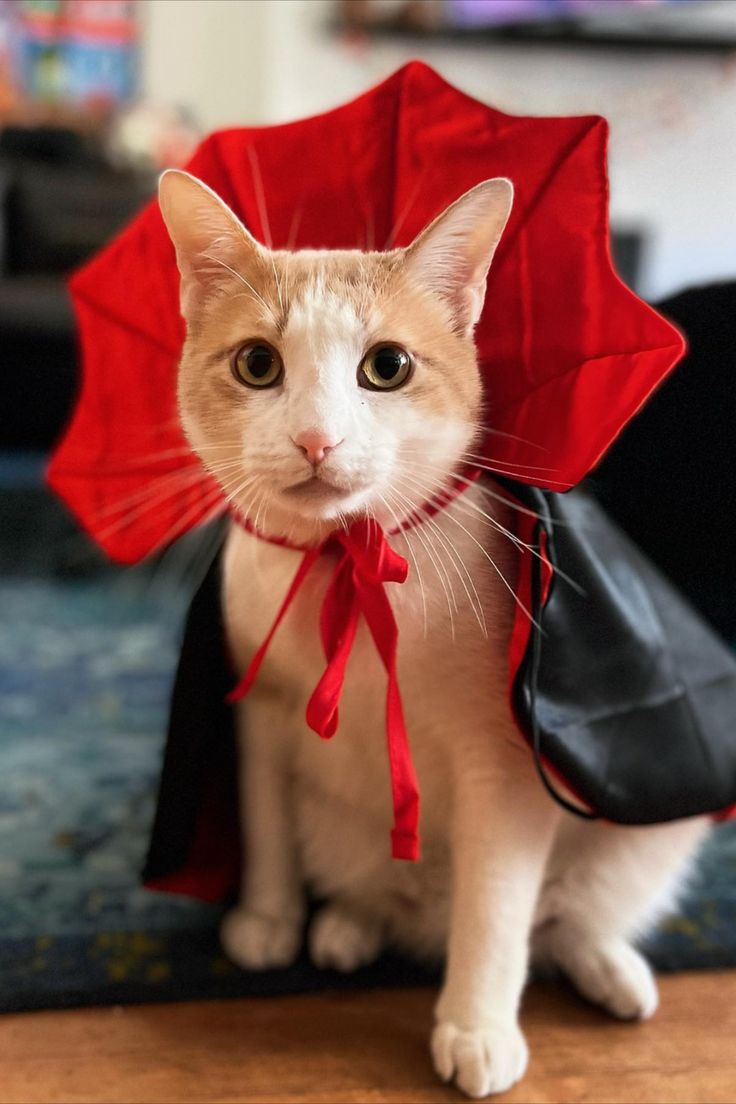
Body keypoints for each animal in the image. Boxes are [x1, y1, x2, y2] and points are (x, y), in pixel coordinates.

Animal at [158, 167, 710, 1099]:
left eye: (387, 367)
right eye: (258, 364)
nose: (317, 439)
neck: (349, 565)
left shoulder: (506, 764)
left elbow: (496, 909)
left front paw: (477, 1024)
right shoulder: (259, 709)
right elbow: (264, 820)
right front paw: (268, 915)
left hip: (645, 843)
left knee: (564, 915)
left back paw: (609, 968)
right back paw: (348, 924)